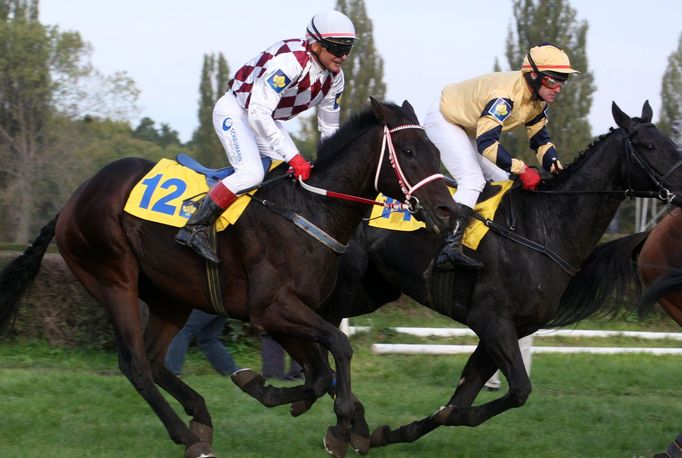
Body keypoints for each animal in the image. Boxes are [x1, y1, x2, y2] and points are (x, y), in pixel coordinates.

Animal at [0, 98, 460, 456]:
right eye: (408, 149)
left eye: (434, 148)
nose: (446, 211)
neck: (310, 211)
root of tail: (71, 202)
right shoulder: (271, 309)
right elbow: (340, 349)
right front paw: (342, 424)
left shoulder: (290, 314)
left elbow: (317, 374)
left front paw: (272, 392)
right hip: (114, 279)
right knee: (135, 365)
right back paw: (188, 438)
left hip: (171, 295)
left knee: (155, 359)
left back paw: (200, 416)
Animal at [310, 100, 680, 448]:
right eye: (649, 146)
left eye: (671, 143)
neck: (543, 227)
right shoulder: (491, 320)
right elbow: (517, 390)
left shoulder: (512, 328)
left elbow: (461, 401)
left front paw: (389, 433)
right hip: (345, 286)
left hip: (370, 290)